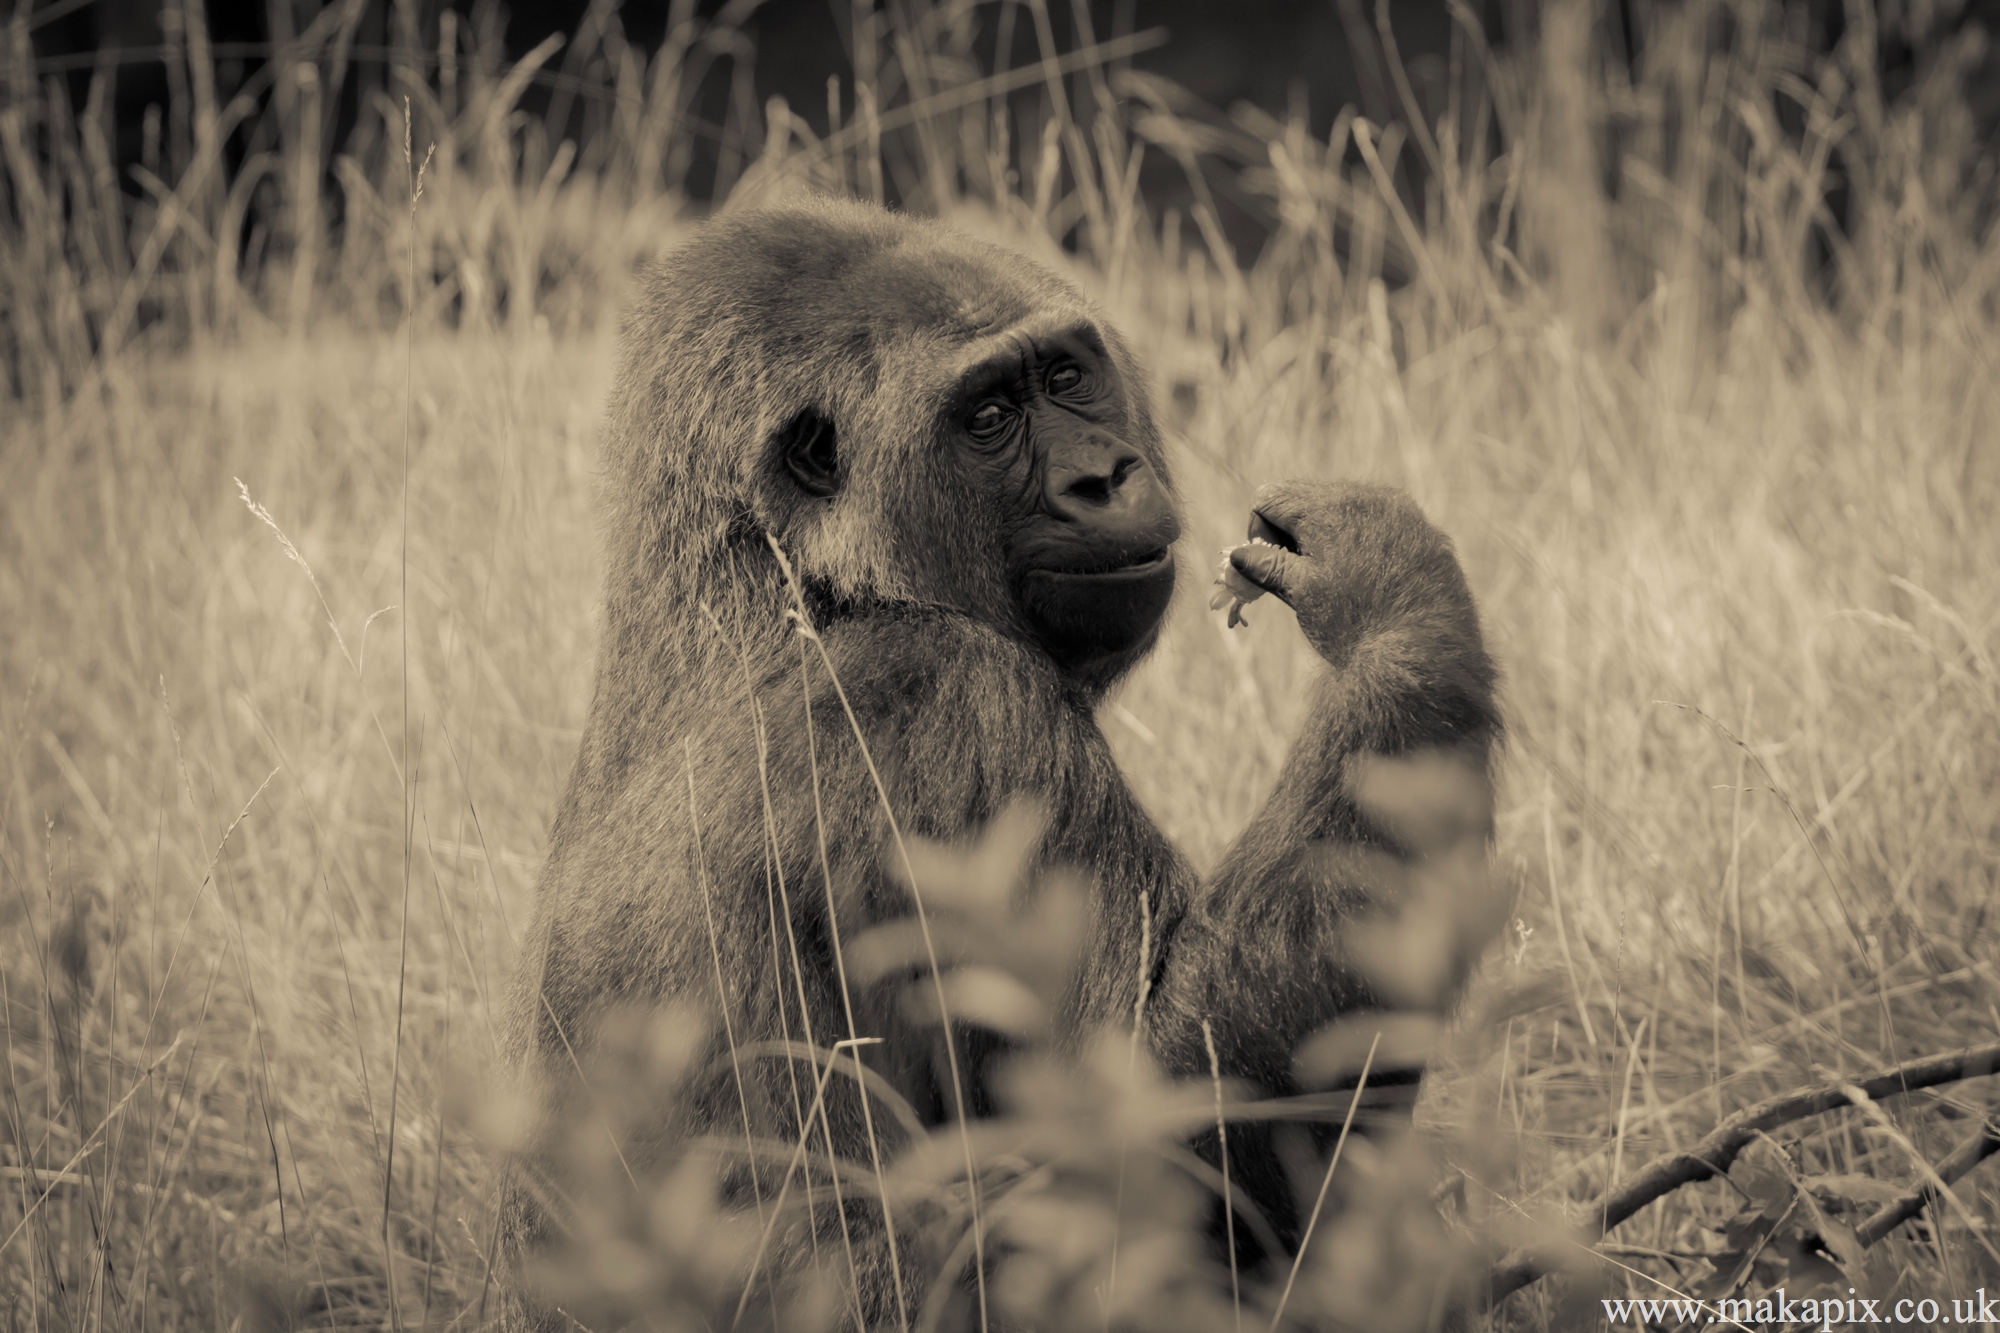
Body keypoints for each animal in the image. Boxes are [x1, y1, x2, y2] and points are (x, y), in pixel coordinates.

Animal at [500, 192, 1504, 1320]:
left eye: (1065, 377)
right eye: (986, 418)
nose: (1102, 476)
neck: (785, 586)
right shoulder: (960, 701)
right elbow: (1141, 1122)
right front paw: (1395, 611)